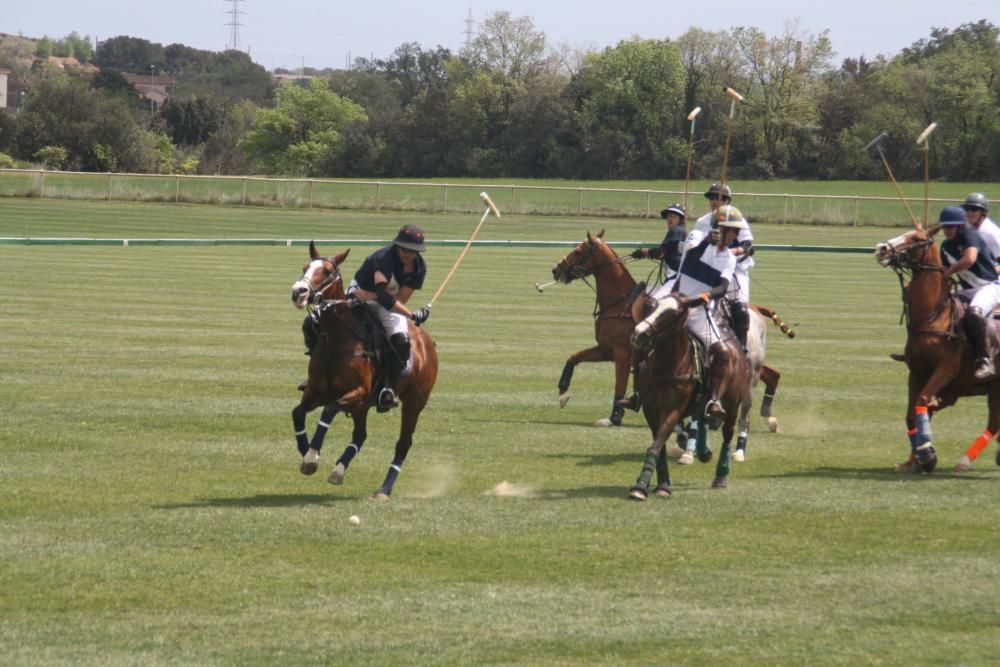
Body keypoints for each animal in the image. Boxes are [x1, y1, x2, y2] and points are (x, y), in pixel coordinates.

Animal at [286, 243, 434, 498]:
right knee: (360, 435)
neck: (338, 338)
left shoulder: (358, 391)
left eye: (327, 271)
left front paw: (312, 456)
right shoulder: (317, 391)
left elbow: (328, 411)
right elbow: (297, 413)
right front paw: (306, 453)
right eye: (305, 267)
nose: (299, 292)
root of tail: (428, 341)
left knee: (403, 443)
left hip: (414, 402)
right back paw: (338, 471)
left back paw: (384, 489)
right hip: (362, 406)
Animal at [548, 230, 788, 444]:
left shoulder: (622, 353)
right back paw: (764, 418)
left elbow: (619, 385)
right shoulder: (606, 350)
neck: (620, 302)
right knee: (772, 374)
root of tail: (755, 309)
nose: (556, 270)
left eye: (579, 251)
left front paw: (614, 417)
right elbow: (573, 357)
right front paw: (562, 394)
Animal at [624, 294, 752, 498]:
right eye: (652, 307)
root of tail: (734, 343)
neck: (664, 368)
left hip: (732, 401)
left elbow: (656, 445)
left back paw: (721, 475)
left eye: (673, 313)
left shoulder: (672, 410)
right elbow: (659, 446)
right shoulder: (650, 410)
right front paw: (662, 483)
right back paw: (704, 452)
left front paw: (641, 486)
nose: (639, 334)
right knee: (703, 418)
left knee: (727, 432)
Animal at [872, 224, 1000, 470]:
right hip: (990, 387)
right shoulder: (917, 372)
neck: (932, 317)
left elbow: (922, 402)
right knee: (993, 423)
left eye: (916, 238)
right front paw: (915, 460)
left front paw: (926, 454)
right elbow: (912, 413)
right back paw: (968, 459)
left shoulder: (945, 370)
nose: (881, 248)